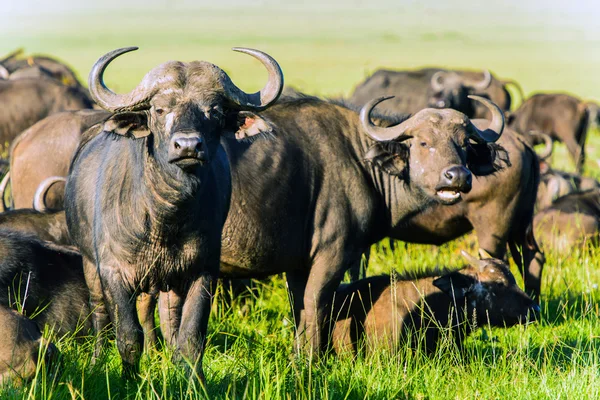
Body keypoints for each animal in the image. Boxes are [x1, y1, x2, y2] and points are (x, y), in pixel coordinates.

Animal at [64, 45, 284, 380]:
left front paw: (195, 380)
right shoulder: (114, 270)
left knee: (167, 317)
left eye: (214, 111)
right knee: (101, 313)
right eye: (158, 110)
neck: (165, 218)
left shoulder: (202, 272)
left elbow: (191, 335)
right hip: (91, 265)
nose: (188, 146)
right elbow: (128, 334)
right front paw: (128, 379)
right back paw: (97, 360)